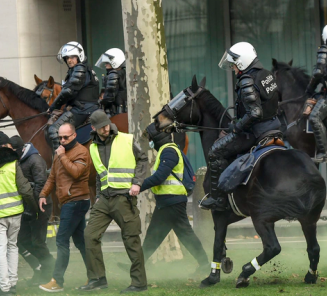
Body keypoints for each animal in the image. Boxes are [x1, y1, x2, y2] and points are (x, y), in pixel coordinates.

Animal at [155, 75, 326, 290]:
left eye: (182, 99)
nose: (157, 120)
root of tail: (308, 177)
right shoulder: (234, 212)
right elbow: (220, 244)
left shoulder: (219, 212)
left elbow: (217, 242)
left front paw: (212, 277)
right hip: (308, 219)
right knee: (314, 248)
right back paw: (310, 276)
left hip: (262, 218)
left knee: (273, 247)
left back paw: (245, 273)